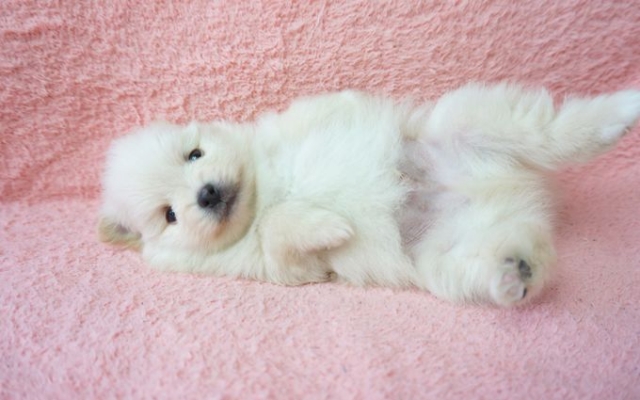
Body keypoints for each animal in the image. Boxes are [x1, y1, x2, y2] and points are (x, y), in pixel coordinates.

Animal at [99, 83, 640, 306]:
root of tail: (512, 188)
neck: (260, 192)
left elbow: (326, 113)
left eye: (194, 154)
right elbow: (280, 230)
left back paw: (621, 110)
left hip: (473, 123)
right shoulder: (277, 268)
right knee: (503, 254)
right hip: (446, 252)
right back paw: (513, 272)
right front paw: (329, 224)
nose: (207, 195)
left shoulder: (290, 126)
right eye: (169, 215)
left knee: (552, 130)